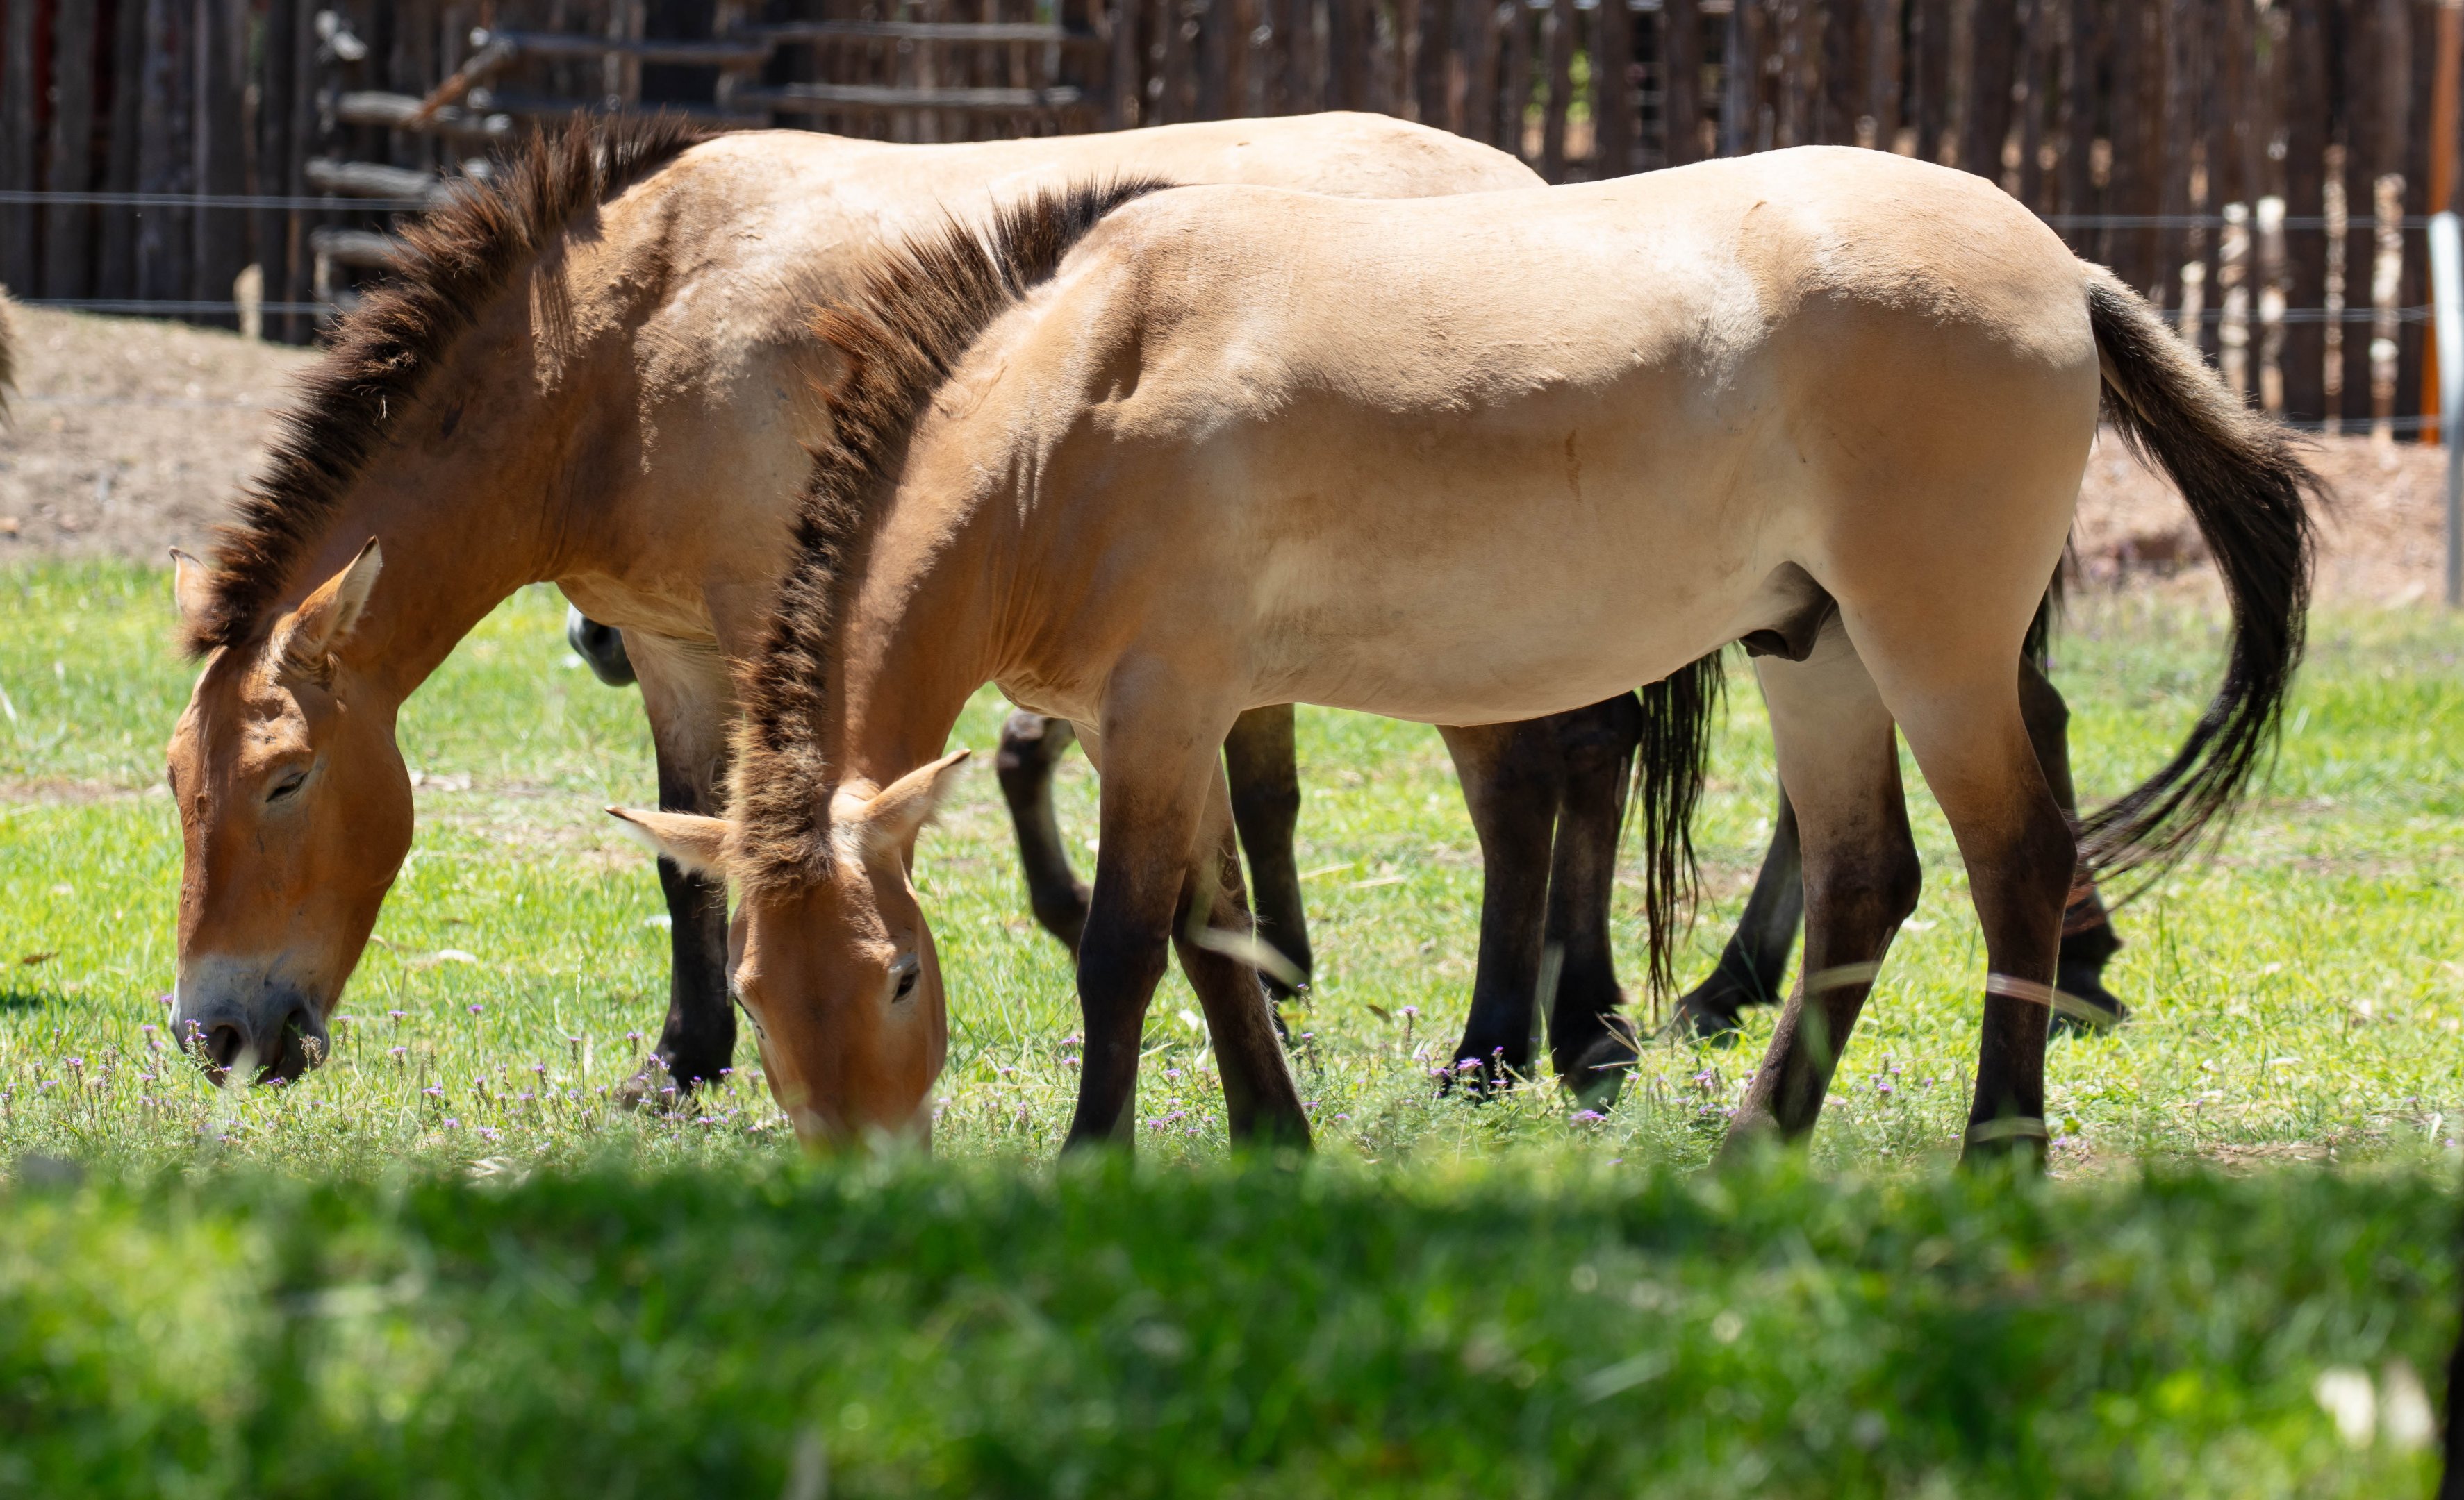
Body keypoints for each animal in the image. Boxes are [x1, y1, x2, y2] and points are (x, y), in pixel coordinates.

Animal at [159, 112, 1658, 1094]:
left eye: (286, 781)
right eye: (178, 781)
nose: (214, 1035)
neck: (622, 336)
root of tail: (1519, 175)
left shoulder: (776, 624)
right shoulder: (667, 641)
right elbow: (684, 850)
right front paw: (684, 1059)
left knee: (1529, 784)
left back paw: (1509, 1041)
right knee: (1583, 759)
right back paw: (1576, 1020)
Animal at [618, 153, 2314, 1158]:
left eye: (902, 976)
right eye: (756, 993)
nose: (862, 1174)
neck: (1069, 406)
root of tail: (2062, 269)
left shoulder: (1162, 711)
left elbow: (1120, 949)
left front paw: (1096, 1162)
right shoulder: (1145, 725)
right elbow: (1216, 940)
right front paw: (1274, 1143)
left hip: (1934, 650)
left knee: (2013, 866)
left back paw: (1992, 1154)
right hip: (1815, 648)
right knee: (1863, 881)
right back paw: (1753, 1144)